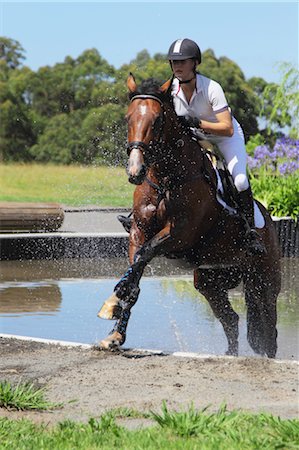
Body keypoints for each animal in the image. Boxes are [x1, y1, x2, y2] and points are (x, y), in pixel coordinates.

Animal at [97, 74, 282, 358]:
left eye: (157, 121)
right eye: (128, 118)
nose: (135, 171)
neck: (166, 179)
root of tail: (270, 223)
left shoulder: (180, 235)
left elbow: (145, 255)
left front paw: (114, 301)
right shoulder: (138, 231)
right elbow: (136, 270)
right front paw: (115, 331)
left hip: (264, 280)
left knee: (269, 329)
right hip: (209, 280)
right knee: (231, 319)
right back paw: (229, 355)